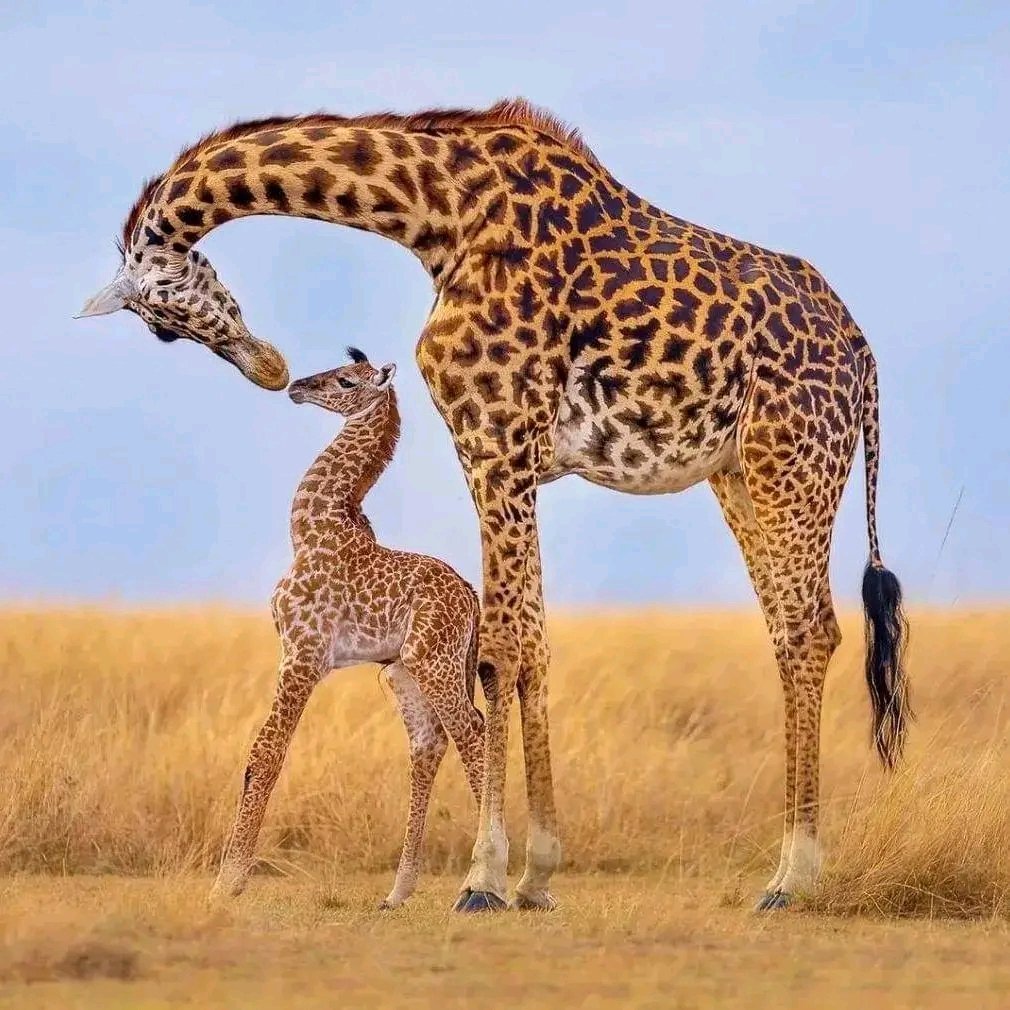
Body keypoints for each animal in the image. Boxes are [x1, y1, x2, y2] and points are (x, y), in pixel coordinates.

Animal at [209, 348, 486, 909]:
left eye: (345, 380)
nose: (296, 386)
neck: (312, 531)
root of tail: (470, 595)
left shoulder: (302, 653)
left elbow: (266, 753)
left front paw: (228, 881)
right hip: (405, 669)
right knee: (429, 745)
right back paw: (398, 892)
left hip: (435, 660)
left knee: (473, 729)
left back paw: (484, 882)